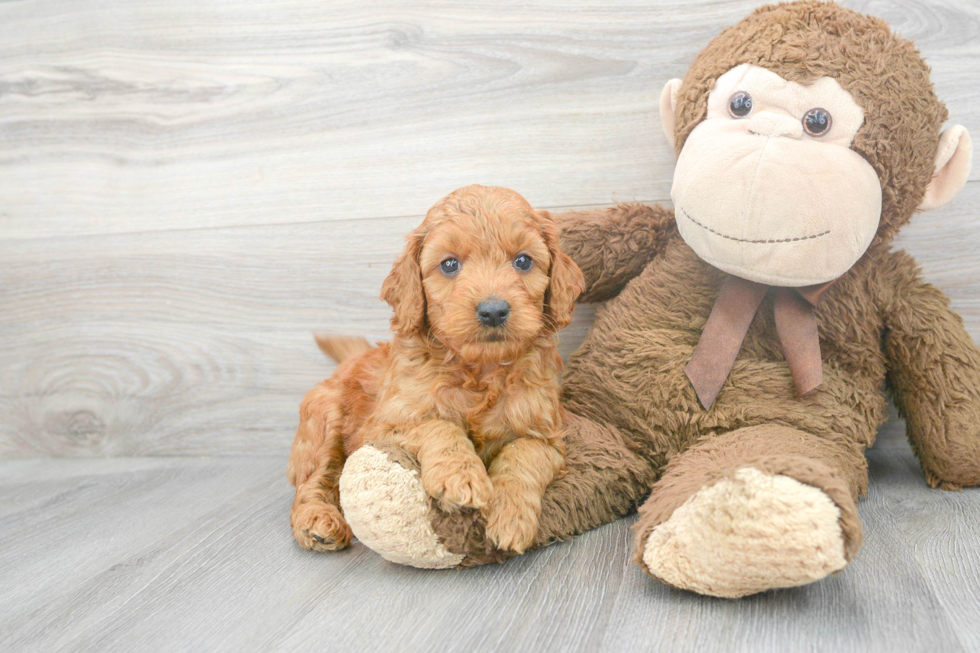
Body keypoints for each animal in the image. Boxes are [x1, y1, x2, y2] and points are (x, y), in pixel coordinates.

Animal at [288, 185, 584, 556]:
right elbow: (438, 426)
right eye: (449, 264)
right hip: (324, 418)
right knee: (314, 478)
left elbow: (523, 457)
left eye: (523, 261)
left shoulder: (546, 436)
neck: (480, 371)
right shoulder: (384, 425)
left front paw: (510, 516)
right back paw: (317, 520)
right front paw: (461, 478)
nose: (493, 311)